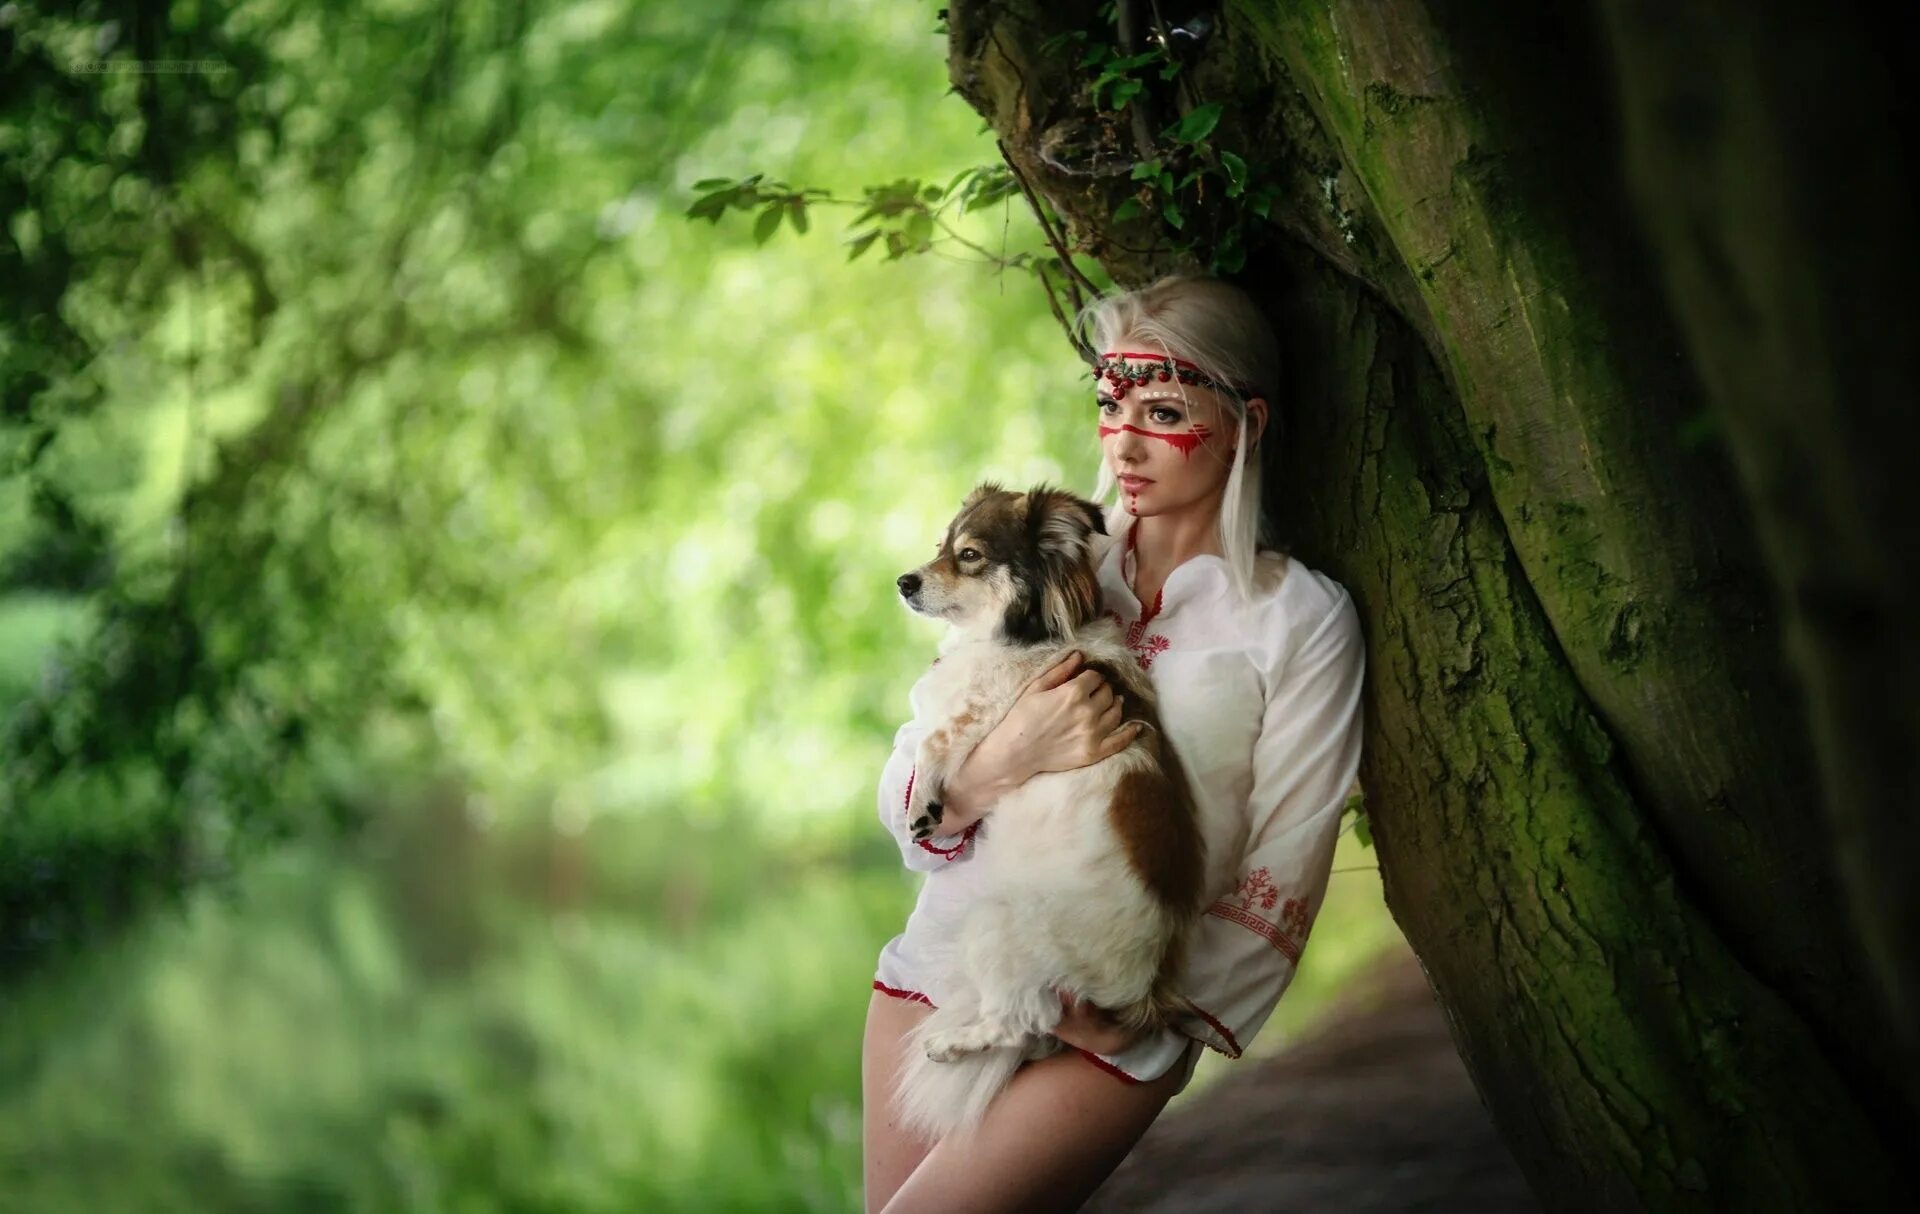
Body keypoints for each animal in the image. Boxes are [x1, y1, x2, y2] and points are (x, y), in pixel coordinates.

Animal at [883, 482, 1198, 1137]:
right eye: (940, 547)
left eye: (969, 555)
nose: (903, 582)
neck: (1024, 635)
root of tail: (1140, 993)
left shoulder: (990, 709)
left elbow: (934, 740)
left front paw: (924, 802)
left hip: (994, 923)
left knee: (1021, 1020)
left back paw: (951, 1043)